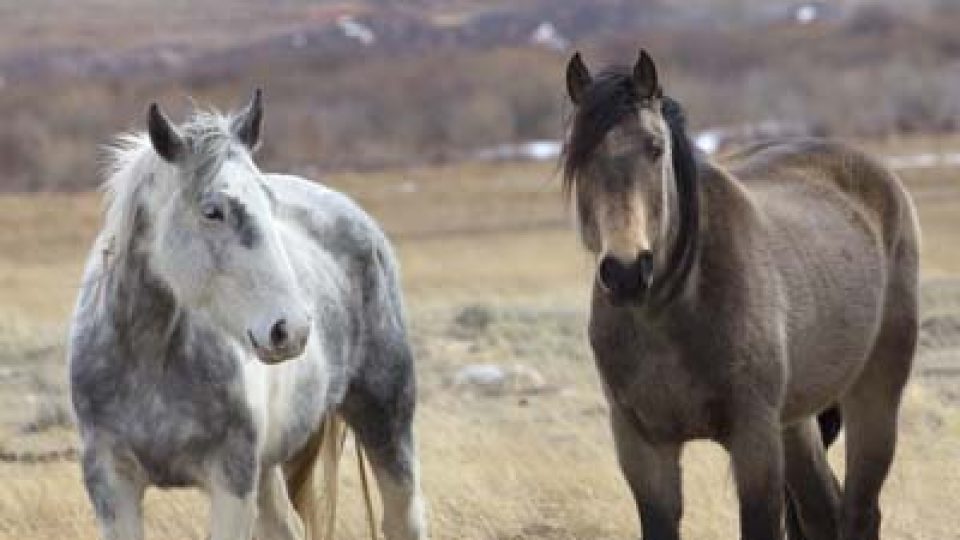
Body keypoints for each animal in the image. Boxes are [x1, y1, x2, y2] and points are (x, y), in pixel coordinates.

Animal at [68, 90, 427, 540]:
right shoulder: (111, 482)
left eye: (270, 202)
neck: (148, 357)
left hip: (386, 418)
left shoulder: (231, 481)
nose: (290, 329)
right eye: (212, 211)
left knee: (403, 517)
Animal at [562, 50, 919, 540]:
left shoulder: (754, 441)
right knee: (822, 510)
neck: (671, 311)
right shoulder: (643, 447)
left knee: (860, 511)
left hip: (874, 394)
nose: (626, 271)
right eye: (578, 154)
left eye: (655, 148)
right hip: (796, 421)